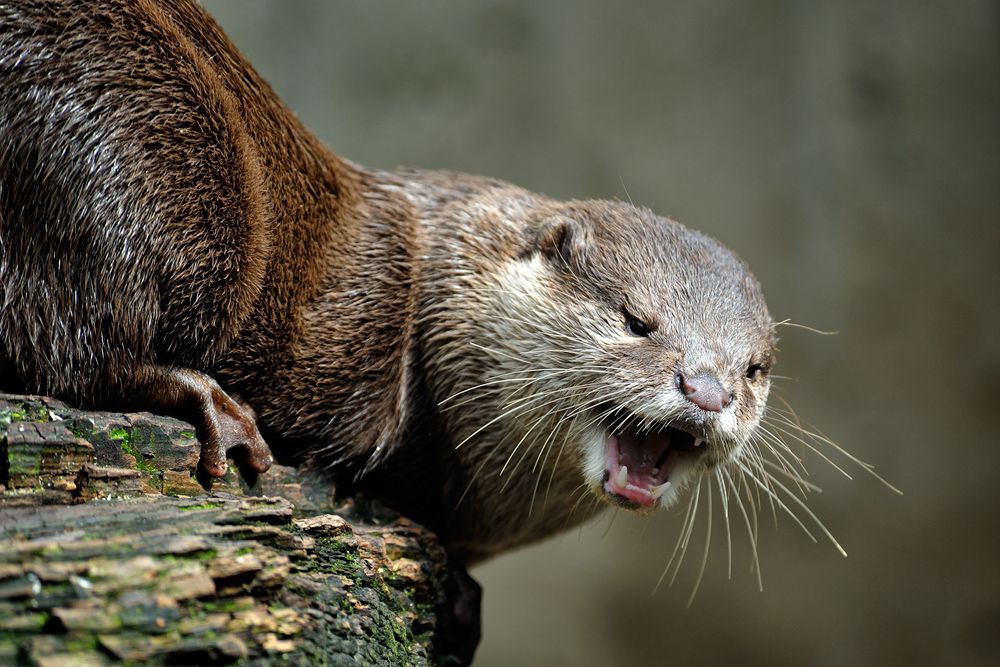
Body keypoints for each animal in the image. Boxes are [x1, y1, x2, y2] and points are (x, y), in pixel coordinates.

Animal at [0, 0, 775, 565]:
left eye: (754, 368)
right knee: (72, 349)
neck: (426, 307)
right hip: (121, 136)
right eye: (636, 321)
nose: (708, 391)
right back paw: (213, 405)